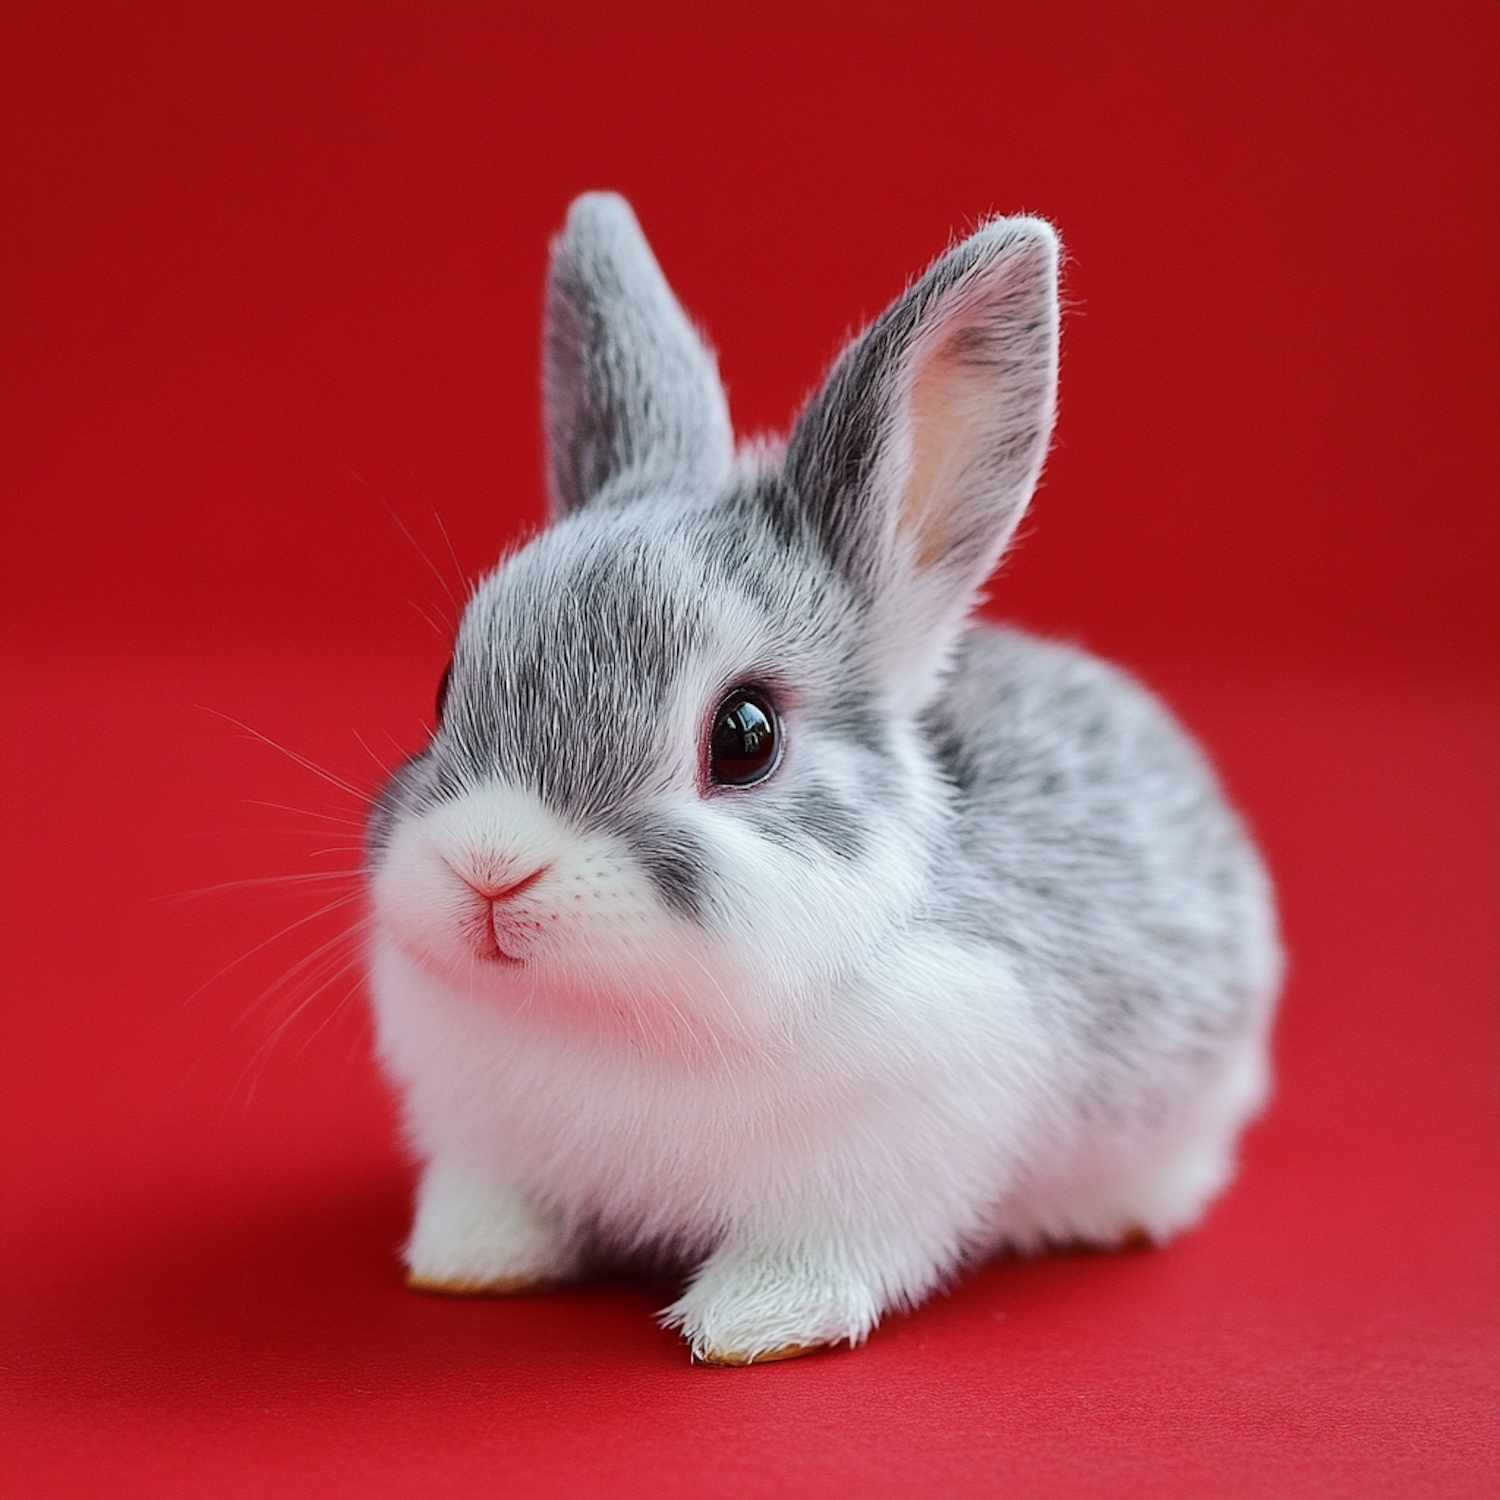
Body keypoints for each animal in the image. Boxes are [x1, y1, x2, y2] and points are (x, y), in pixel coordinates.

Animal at [363, 196, 1278, 1374]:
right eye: (446, 687)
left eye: (745, 736)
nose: (491, 867)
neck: (610, 1021)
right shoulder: (489, 1141)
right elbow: (501, 1207)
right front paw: (464, 1262)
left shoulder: (877, 1171)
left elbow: (817, 1255)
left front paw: (752, 1325)